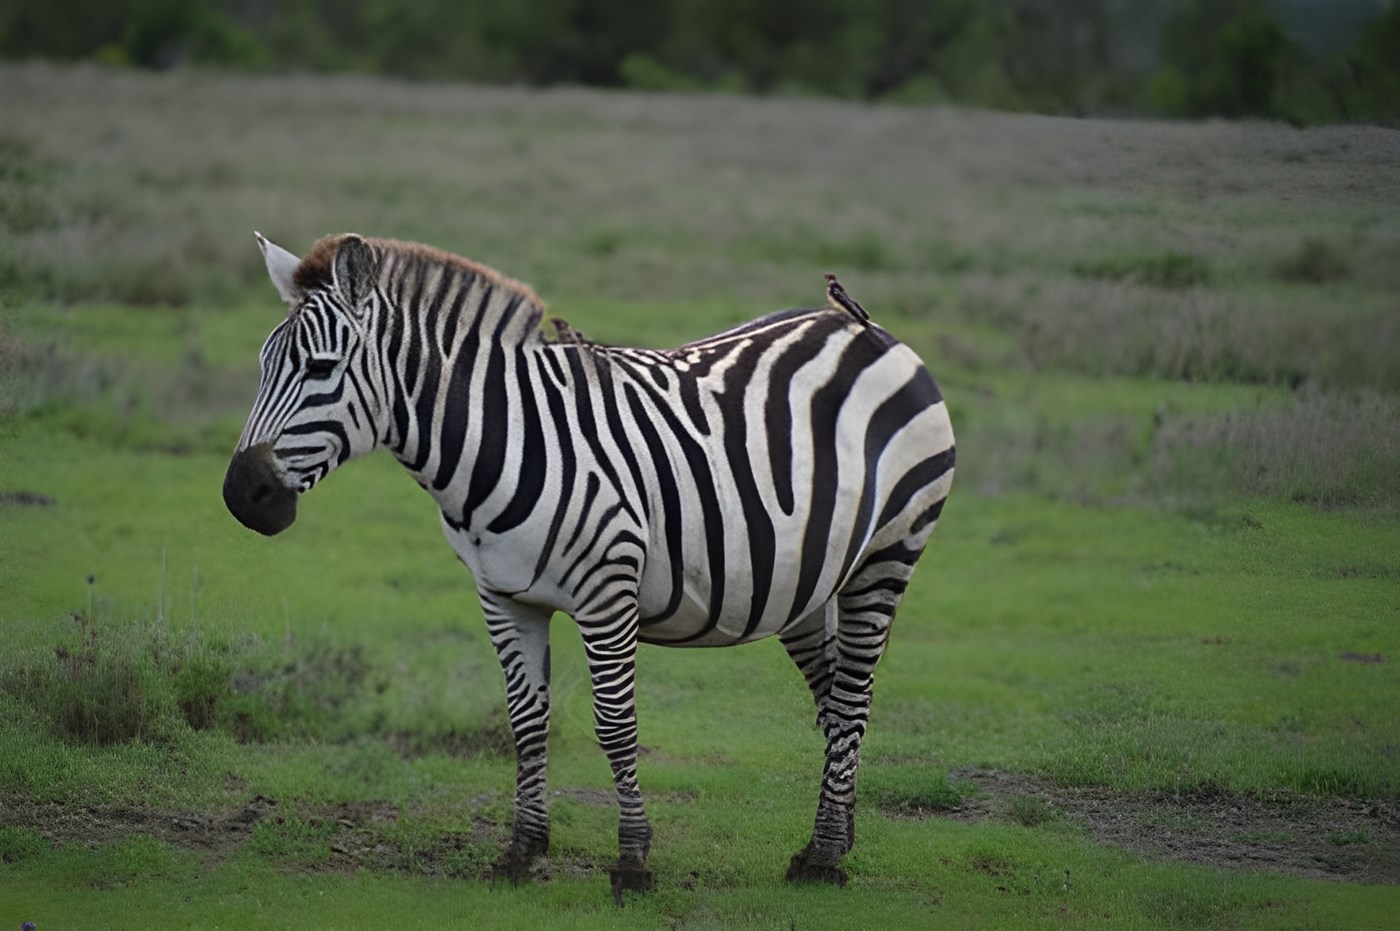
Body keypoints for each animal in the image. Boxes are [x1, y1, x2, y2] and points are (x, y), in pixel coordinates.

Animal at [223, 232, 955, 892]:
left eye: (321, 368)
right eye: (261, 363)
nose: (240, 496)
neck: (500, 440)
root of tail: (862, 326)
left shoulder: (608, 591)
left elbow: (615, 724)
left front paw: (633, 861)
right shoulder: (504, 596)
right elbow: (525, 722)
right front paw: (522, 852)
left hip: (889, 552)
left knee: (852, 699)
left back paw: (825, 859)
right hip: (804, 578)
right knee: (834, 700)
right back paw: (836, 836)